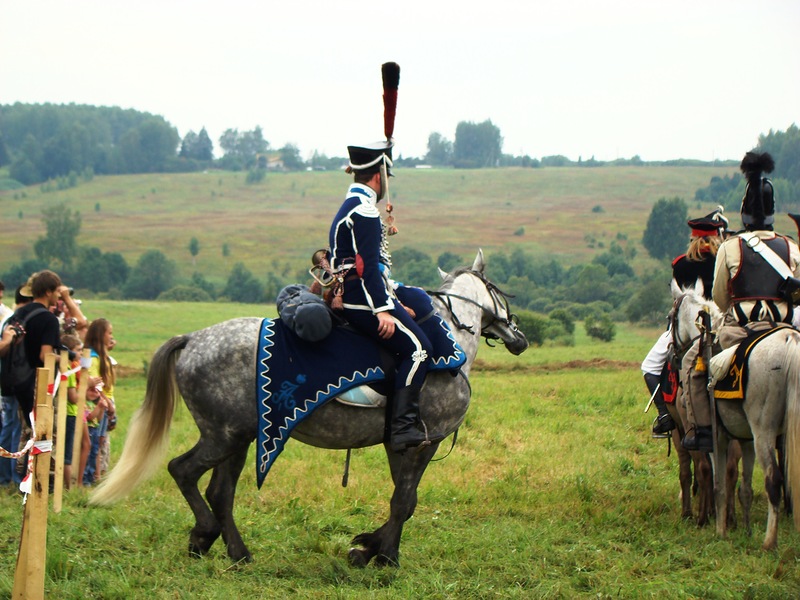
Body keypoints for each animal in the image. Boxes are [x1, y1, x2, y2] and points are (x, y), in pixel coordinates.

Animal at [90, 251, 528, 564]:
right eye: (498, 290)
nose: (519, 336)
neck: (448, 339)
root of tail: (193, 339)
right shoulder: (422, 442)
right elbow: (404, 501)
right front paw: (383, 556)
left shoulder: (401, 444)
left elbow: (404, 500)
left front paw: (368, 547)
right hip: (223, 436)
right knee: (183, 472)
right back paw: (205, 535)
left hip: (240, 438)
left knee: (220, 492)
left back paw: (233, 550)